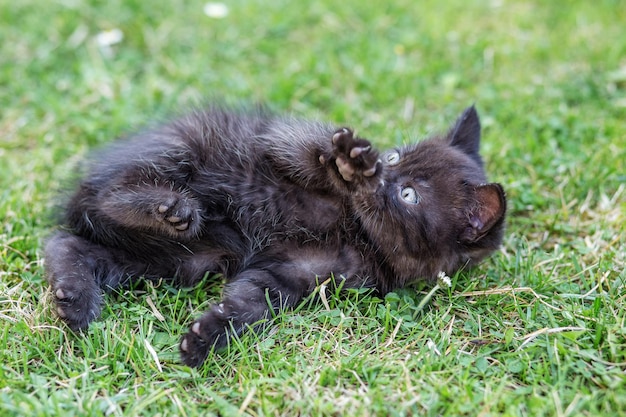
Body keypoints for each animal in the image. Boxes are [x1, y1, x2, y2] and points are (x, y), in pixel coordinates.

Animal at [45, 105, 502, 368]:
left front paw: (209, 336)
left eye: (409, 196)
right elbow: (307, 153)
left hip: (177, 259)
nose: (383, 174)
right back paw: (169, 207)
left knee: (67, 242)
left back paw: (74, 298)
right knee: (111, 193)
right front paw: (349, 161)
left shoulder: (296, 275)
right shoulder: (279, 148)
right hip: (180, 150)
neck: (356, 231)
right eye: (393, 158)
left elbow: (250, 301)